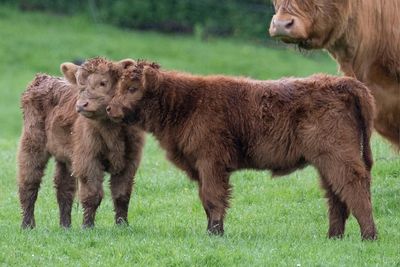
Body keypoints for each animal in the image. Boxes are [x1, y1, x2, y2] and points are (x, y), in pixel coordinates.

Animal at [18, 57, 145, 229]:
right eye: (80, 85)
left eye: (103, 82)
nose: (81, 105)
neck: (112, 132)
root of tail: (42, 78)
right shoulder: (88, 159)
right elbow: (92, 194)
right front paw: (87, 227)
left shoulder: (130, 160)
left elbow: (122, 194)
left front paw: (122, 225)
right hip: (32, 143)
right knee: (29, 182)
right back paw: (27, 225)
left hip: (65, 156)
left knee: (64, 188)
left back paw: (65, 226)